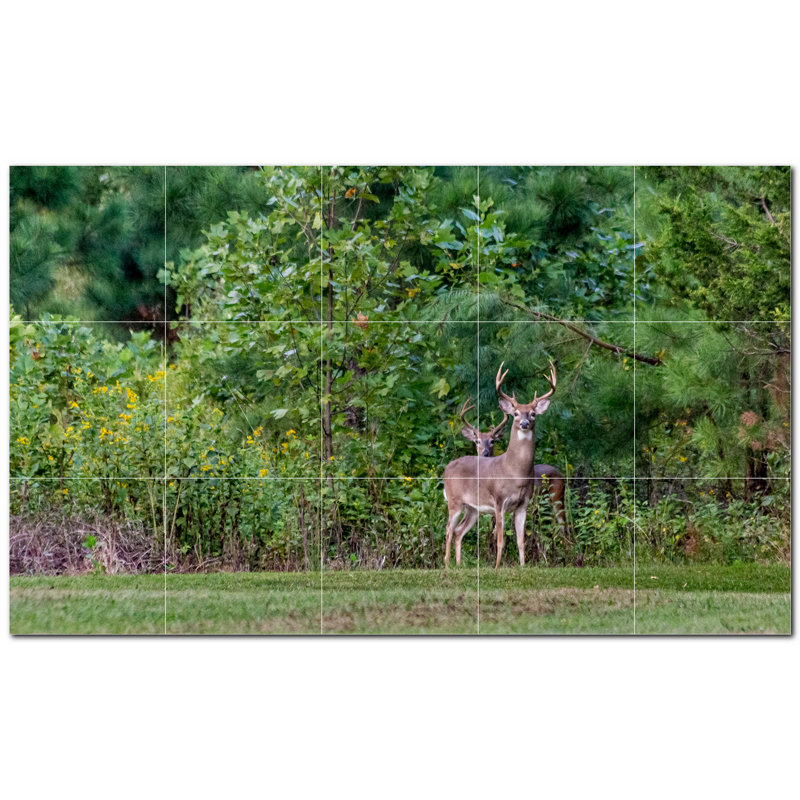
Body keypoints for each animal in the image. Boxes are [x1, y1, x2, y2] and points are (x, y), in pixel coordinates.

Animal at [444, 361, 556, 568]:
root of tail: (448, 467)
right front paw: (496, 567)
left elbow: (520, 540)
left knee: (459, 531)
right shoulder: (499, 501)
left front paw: (523, 566)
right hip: (454, 501)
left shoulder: (523, 504)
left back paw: (459, 565)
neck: (515, 472)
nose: (525, 423)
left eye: (533, 413)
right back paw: (447, 565)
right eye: (516, 413)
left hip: (473, 508)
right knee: (449, 529)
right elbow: (500, 540)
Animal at [457, 398, 568, 560]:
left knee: (563, 527)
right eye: (477, 441)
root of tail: (561, 474)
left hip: (558, 499)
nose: (485, 452)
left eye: (492, 441)